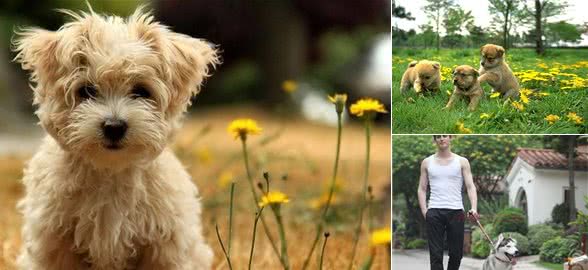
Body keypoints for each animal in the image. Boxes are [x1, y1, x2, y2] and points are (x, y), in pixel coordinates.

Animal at [12, 6, 219, 270]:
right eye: (87, 91)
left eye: (141, 91)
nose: (114, 126)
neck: (110, 171)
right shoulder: (54, 241)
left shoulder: (165, 245)